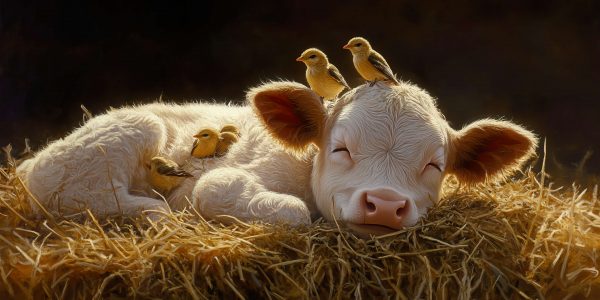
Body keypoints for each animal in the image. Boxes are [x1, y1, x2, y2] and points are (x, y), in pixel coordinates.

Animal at [16, 81, 536, 236]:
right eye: (339, 148)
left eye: (433, 165)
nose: (385, 204)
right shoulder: (218, 183)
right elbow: (288, 210)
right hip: (129, 131)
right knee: (70, 193)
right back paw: (153, 214)